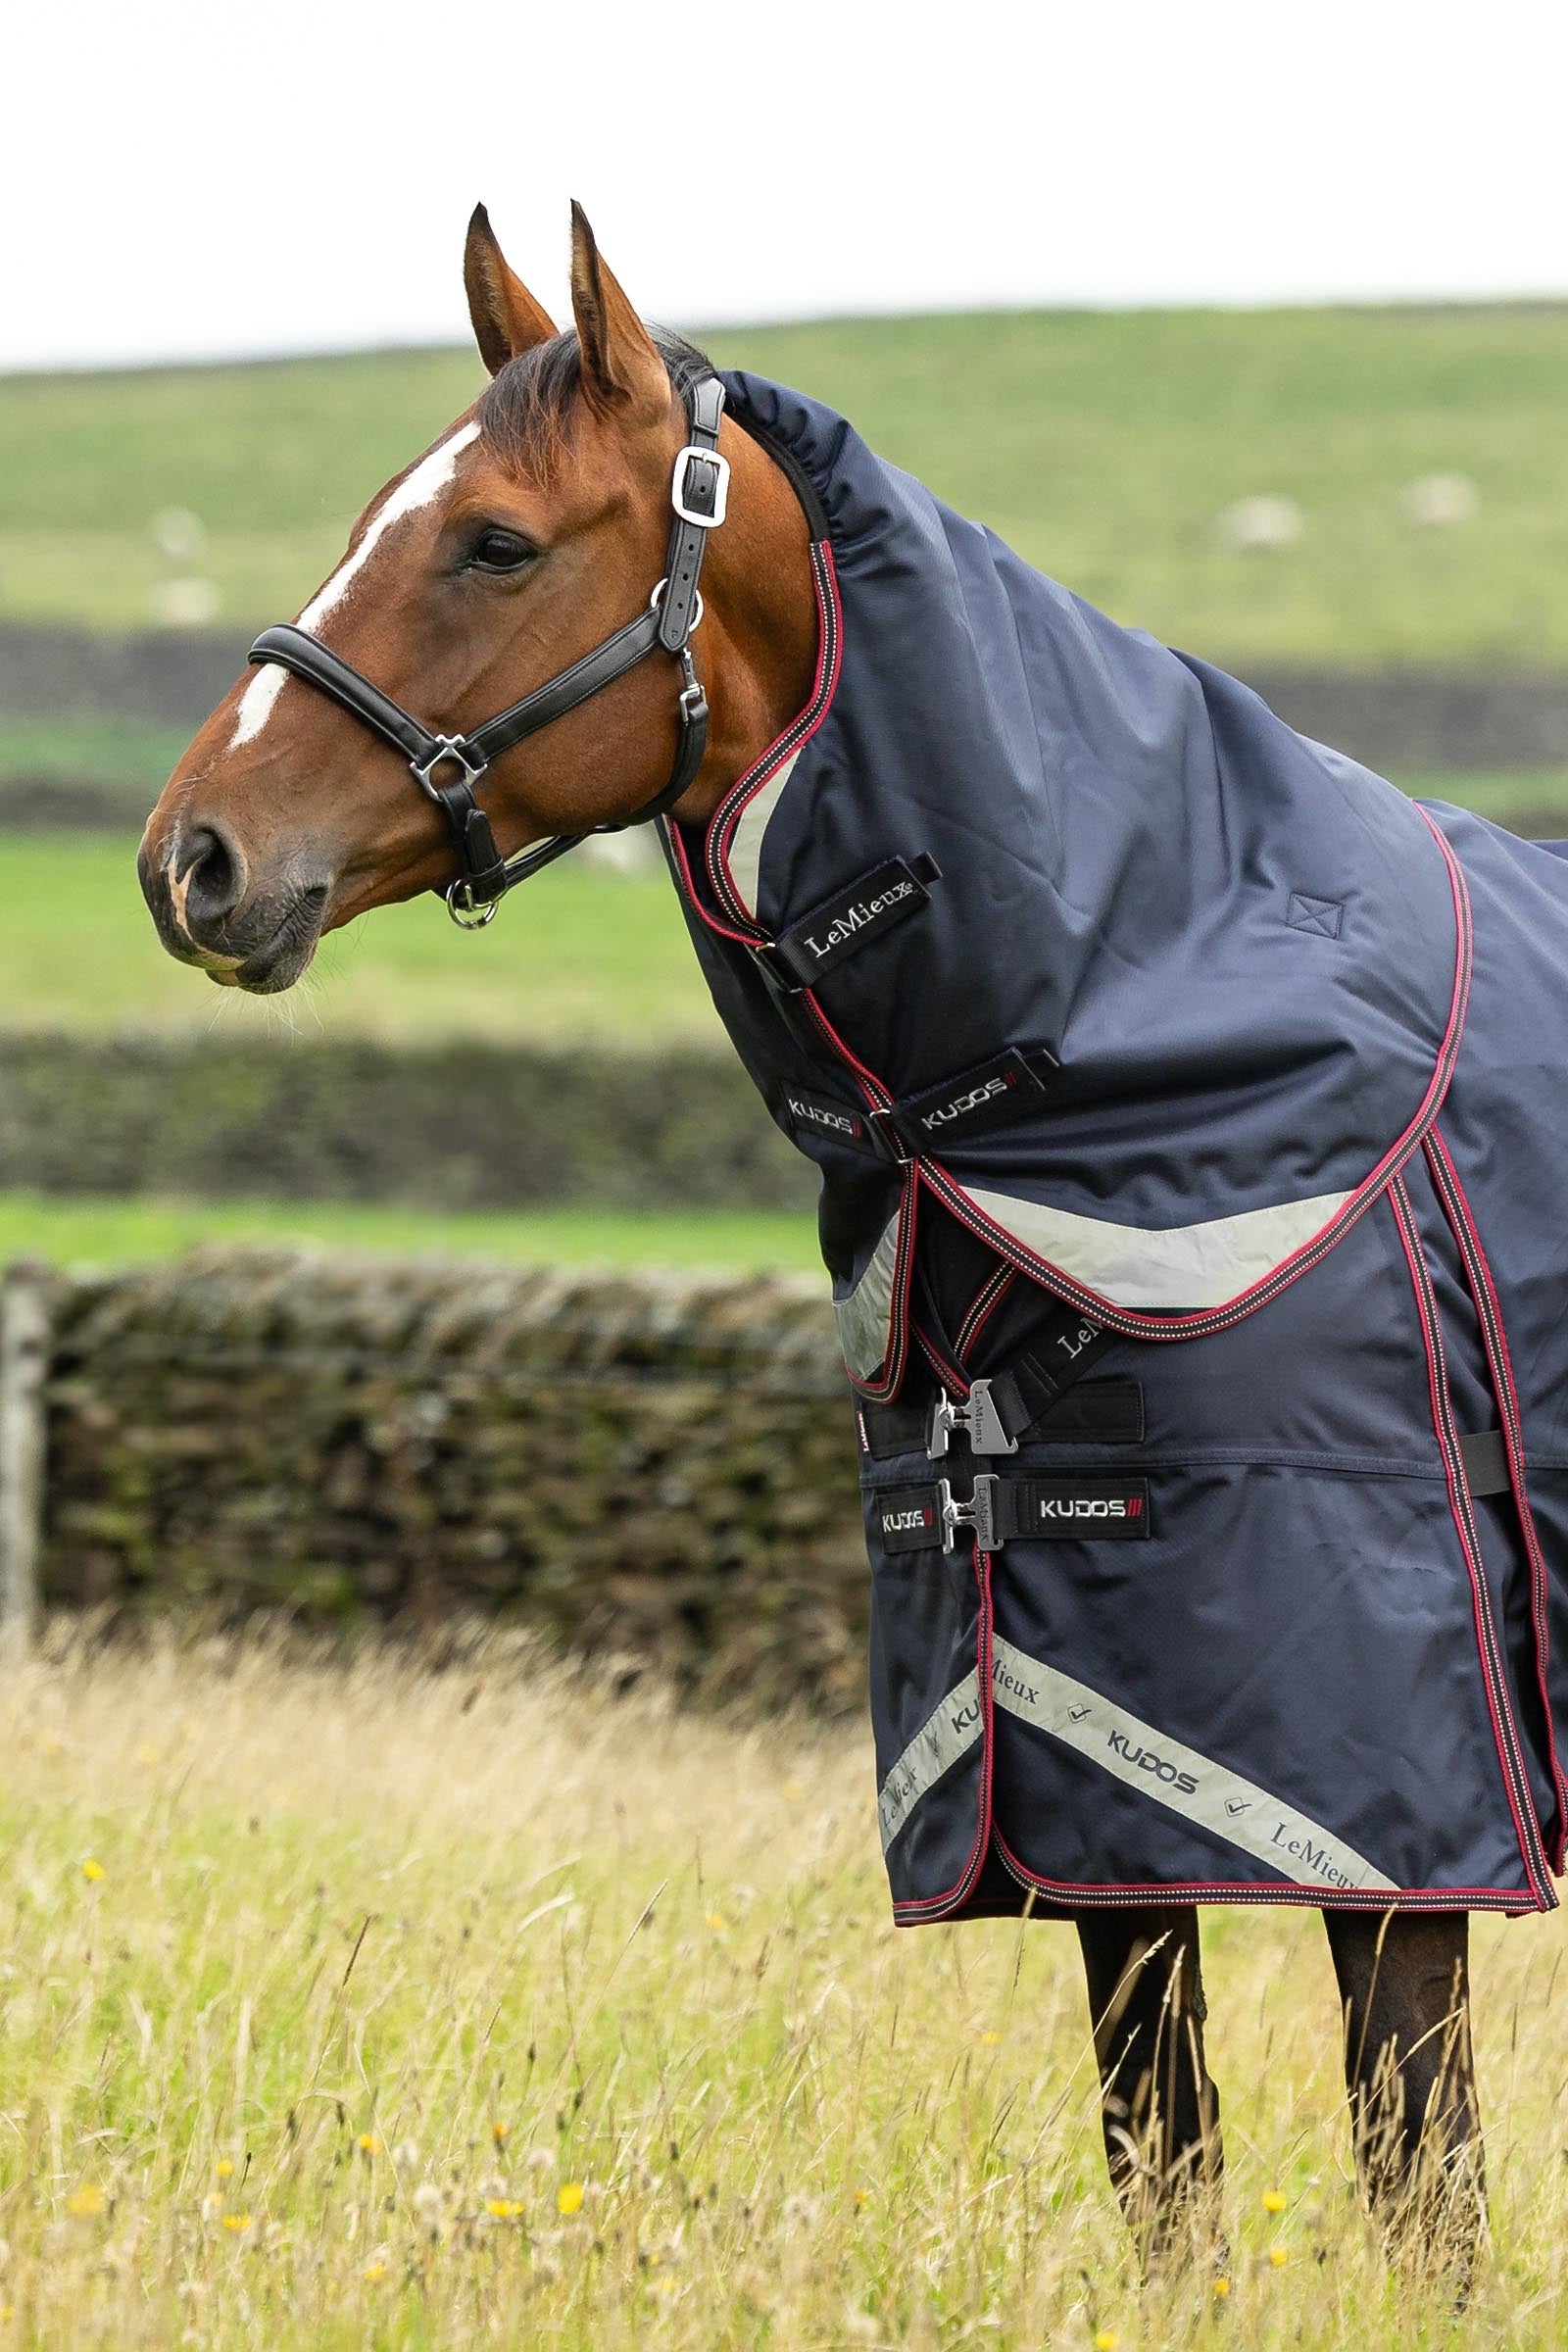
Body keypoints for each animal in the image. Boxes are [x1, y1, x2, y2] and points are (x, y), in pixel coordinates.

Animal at [140, 201, 1514, 2268]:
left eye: (494, 543)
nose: (193, 858)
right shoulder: (1070, 1771)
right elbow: (1166, 2154)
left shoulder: (1395, 1791)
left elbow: (1422, 2180)